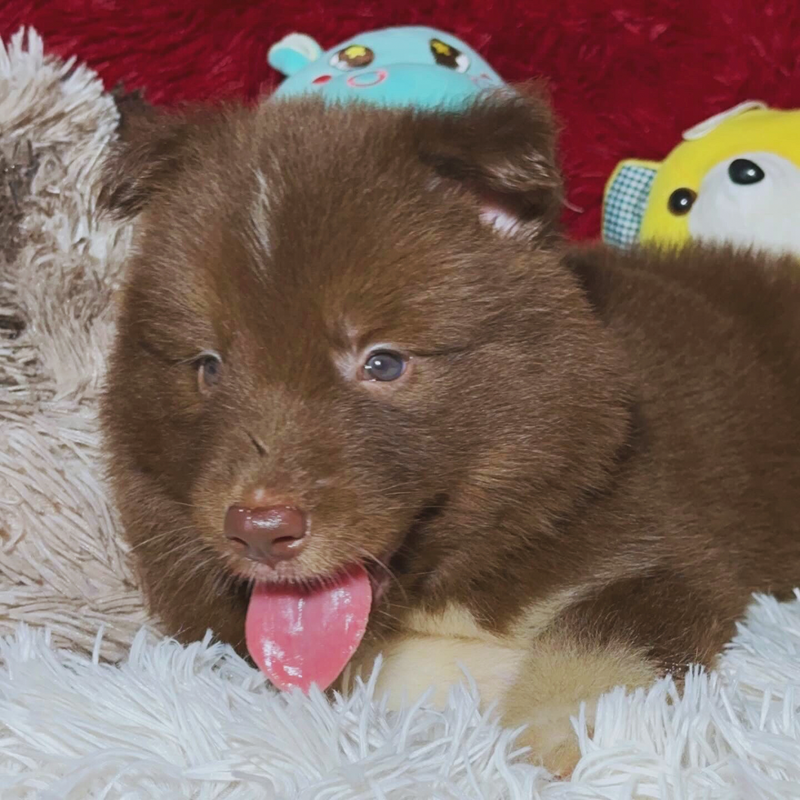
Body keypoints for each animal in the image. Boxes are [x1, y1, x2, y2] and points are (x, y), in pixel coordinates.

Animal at [100, 87, 800, 776]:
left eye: (383, 362)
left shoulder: (666, 554)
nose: (260, 531)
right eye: (209, 366)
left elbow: (596, 641)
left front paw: (558, 742)